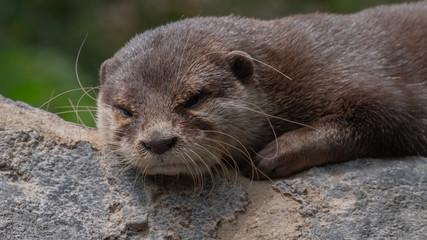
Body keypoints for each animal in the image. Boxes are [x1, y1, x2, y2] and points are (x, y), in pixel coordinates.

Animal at [97, 0, 427, 179]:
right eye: (125, 110)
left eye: (194, 99)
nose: (158, 142)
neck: (290, 75)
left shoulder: (375, 85)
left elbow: (383, 121)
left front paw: (275, 154)